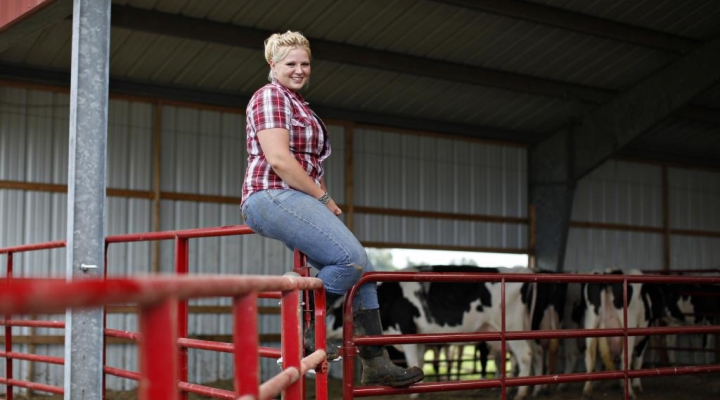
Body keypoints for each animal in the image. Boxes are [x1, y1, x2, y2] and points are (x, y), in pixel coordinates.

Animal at [572, 268, 668, 400]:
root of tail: (608, 273)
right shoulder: (644, 338)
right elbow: (638, 359)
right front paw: (636, 385)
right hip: (629, 326)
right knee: (625, 357)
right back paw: (630, 392)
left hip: (591, 321)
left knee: (590, 354)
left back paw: (587, 390)